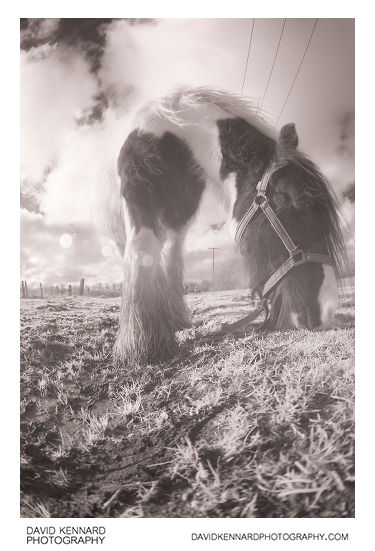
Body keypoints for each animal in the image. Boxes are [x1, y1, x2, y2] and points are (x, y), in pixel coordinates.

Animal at [95, 88, 346, 364]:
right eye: (303, 202)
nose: (327, 309)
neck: (169, 142)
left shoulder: (179, 220)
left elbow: (171, 261)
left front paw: (173, 321)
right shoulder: (140, 206)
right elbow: (142, 254)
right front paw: (143, 346)